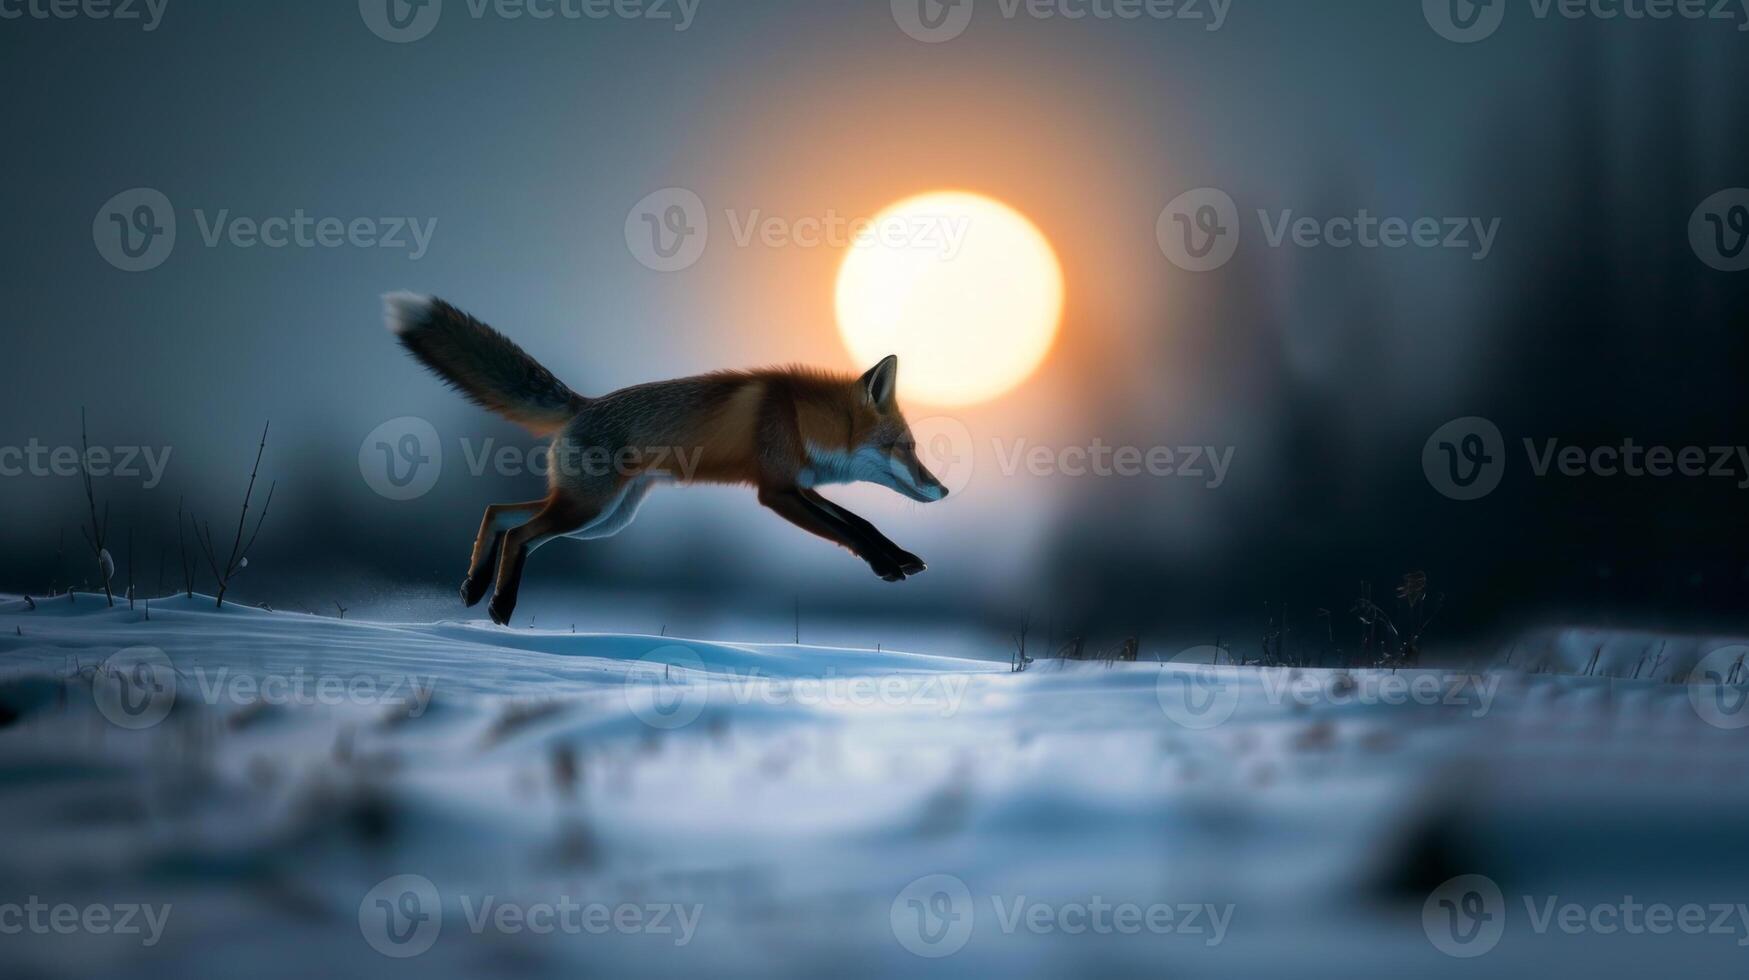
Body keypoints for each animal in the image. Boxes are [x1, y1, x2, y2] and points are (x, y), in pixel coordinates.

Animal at [390, 292, 951, 626]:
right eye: (904, 446)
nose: (942, 489)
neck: (799, 420)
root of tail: (584, 404)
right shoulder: (776, 494)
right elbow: (847, 531)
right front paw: (885, 566)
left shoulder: (800, 487)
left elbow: (861, 523)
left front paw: (900, 558)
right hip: (589, 511)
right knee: (518, 532)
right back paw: (500, 605)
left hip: (602, 519)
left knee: (500, 513)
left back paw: (474, 586)